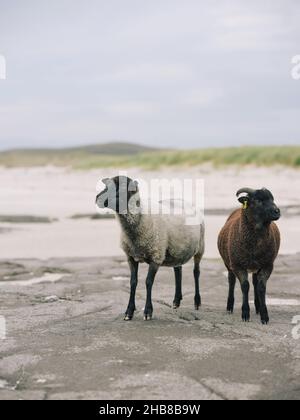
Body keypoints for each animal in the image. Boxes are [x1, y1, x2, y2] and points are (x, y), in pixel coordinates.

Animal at [96, 176, 204, 320]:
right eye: (106, 186)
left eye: (123, 187)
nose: (97, 198)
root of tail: (184, 201)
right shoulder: (131, 257)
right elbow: (133, 282)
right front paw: (129, 311)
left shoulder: (155, 256)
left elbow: (148, 282)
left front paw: (148, 311)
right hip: (176, 249)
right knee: (178, 270)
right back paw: (176, 301)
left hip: (200, 247)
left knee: (196, 272)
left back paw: (197, 302)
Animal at [218, 187, 282, 324]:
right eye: (258, 200)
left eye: (272, 198)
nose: (277, 211)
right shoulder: (238, 265)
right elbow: (245, 286)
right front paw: (245, 314)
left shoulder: (267, 265)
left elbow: (261, 287)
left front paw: (264, 316)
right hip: (229, 264)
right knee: (231, 281)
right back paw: (229, 307)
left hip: (255, 266)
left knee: (255, 283)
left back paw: (257, 307)